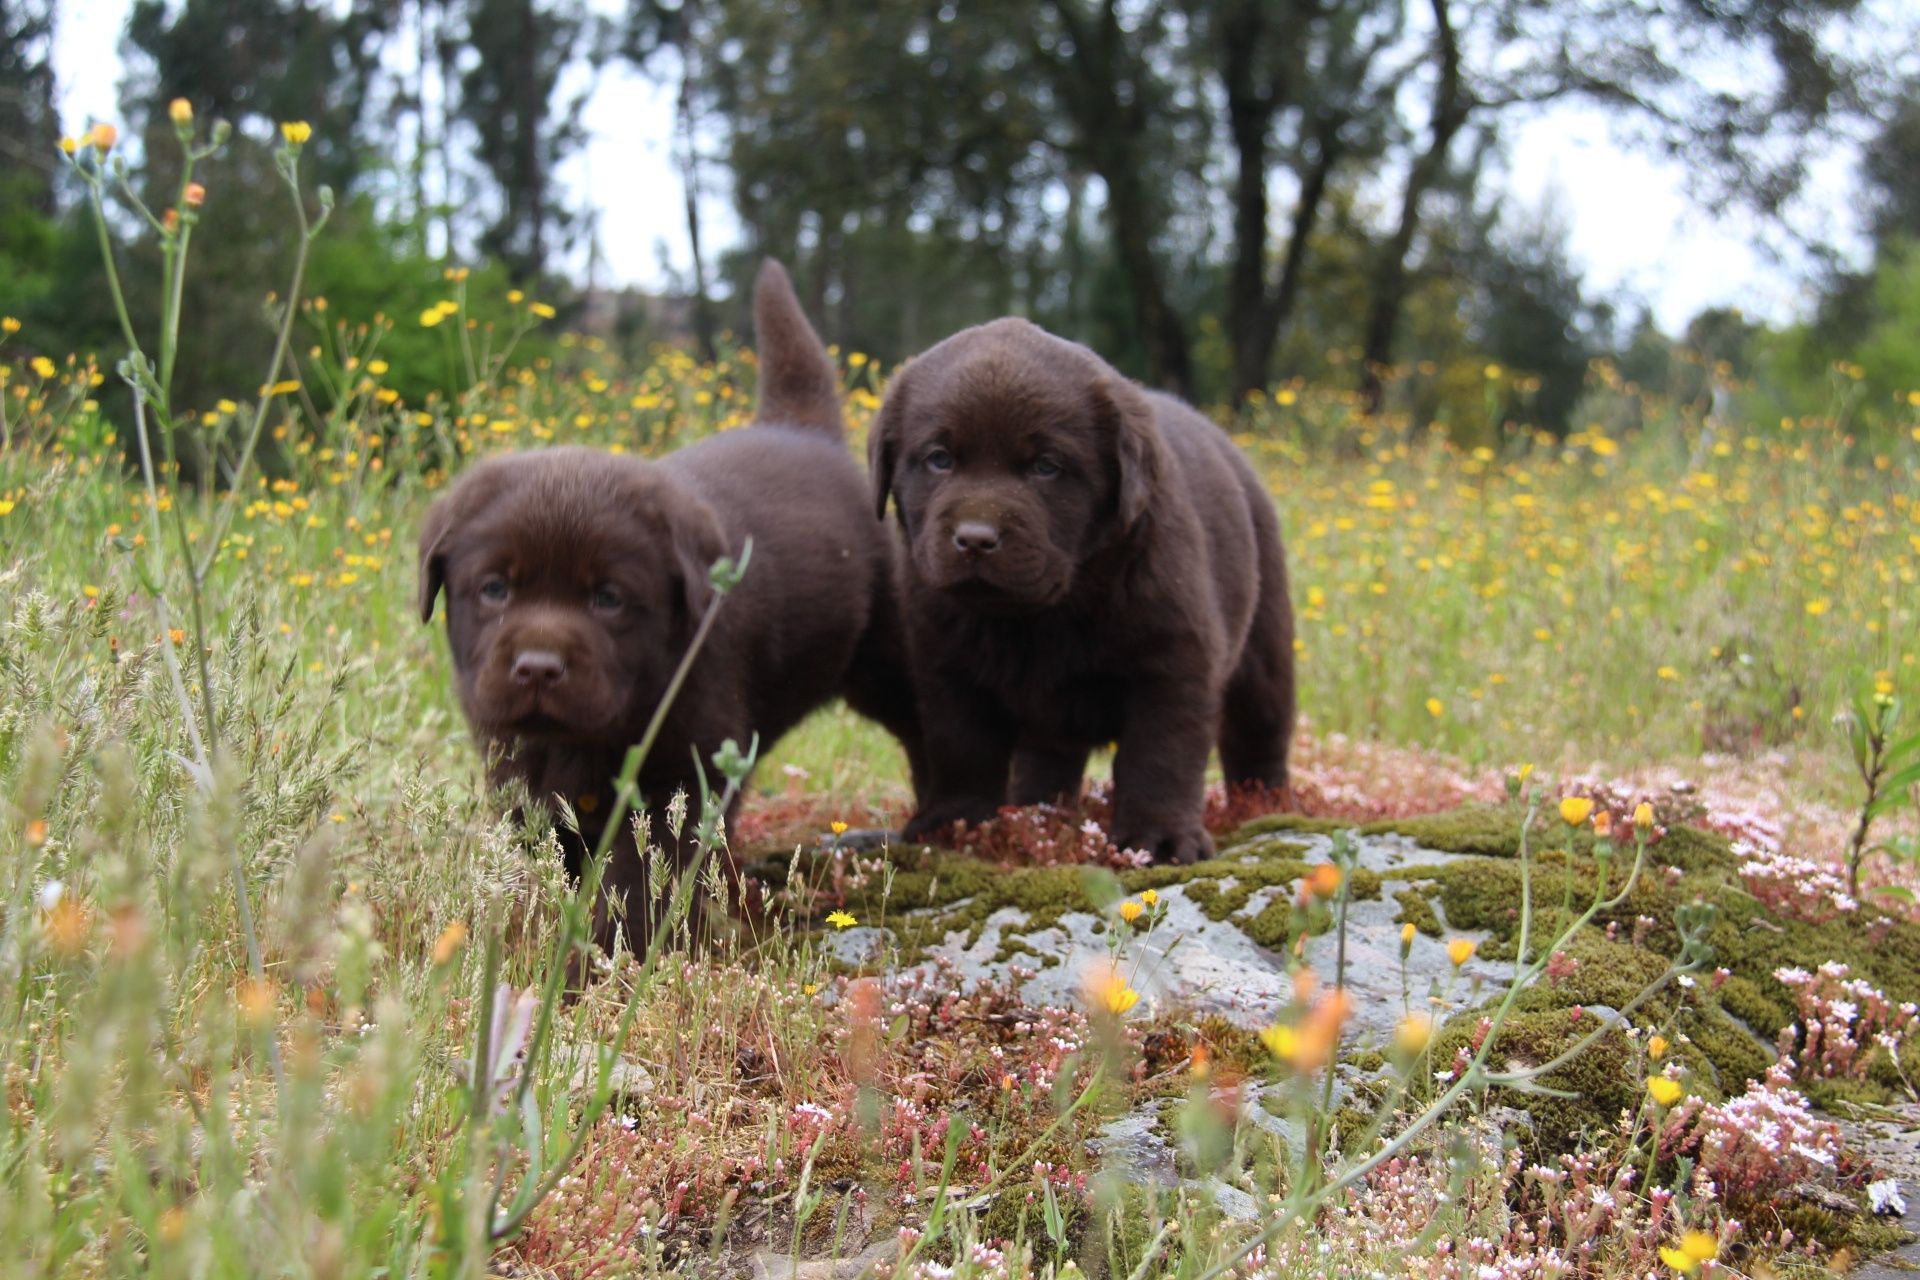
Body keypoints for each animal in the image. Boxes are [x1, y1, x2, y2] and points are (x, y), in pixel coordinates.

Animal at [418, 260, 921, 948]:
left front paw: (606, 956)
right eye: (494, 589)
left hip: (890, 651)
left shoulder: (683, 770)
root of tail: (802, 430)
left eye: (609, 599)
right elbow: (564, 853)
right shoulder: (518, 765)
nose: (539, 667)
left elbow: (639, 876)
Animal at [871, 316, 1290, 867]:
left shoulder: (1174, 661)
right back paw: (1036, 811)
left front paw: (1160, 838)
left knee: (1261, 728)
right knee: (1049, 758)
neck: (1044, 614)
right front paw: (956, 825)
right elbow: (961, 746)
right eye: (939, 459)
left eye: (1046, 466)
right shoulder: (945, 667)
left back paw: (1266, 804)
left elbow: (1161, 754)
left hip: (1264, 641)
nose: (975, 538)